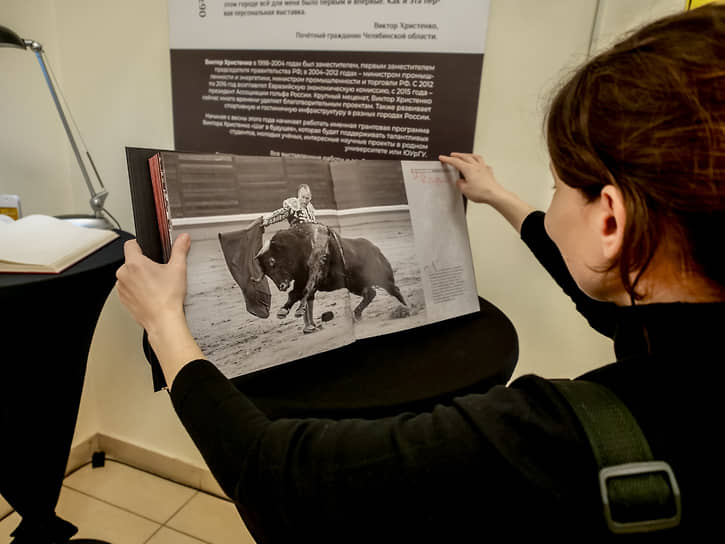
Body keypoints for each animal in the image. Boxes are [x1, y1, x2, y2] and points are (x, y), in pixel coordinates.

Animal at [255, 223, 404, 334]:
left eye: (272, 261)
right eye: (266, 272)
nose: (281, 286)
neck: (300, 247)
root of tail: (375, 249)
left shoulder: (315, 275)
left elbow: (305, 291)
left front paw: (298, 310)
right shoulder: (300, 279)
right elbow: (294, 294)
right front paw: (283, 311)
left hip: (382, 279)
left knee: (394, 290)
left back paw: (405, 308)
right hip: (354, 284)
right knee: (371, 293)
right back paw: (357, 314)